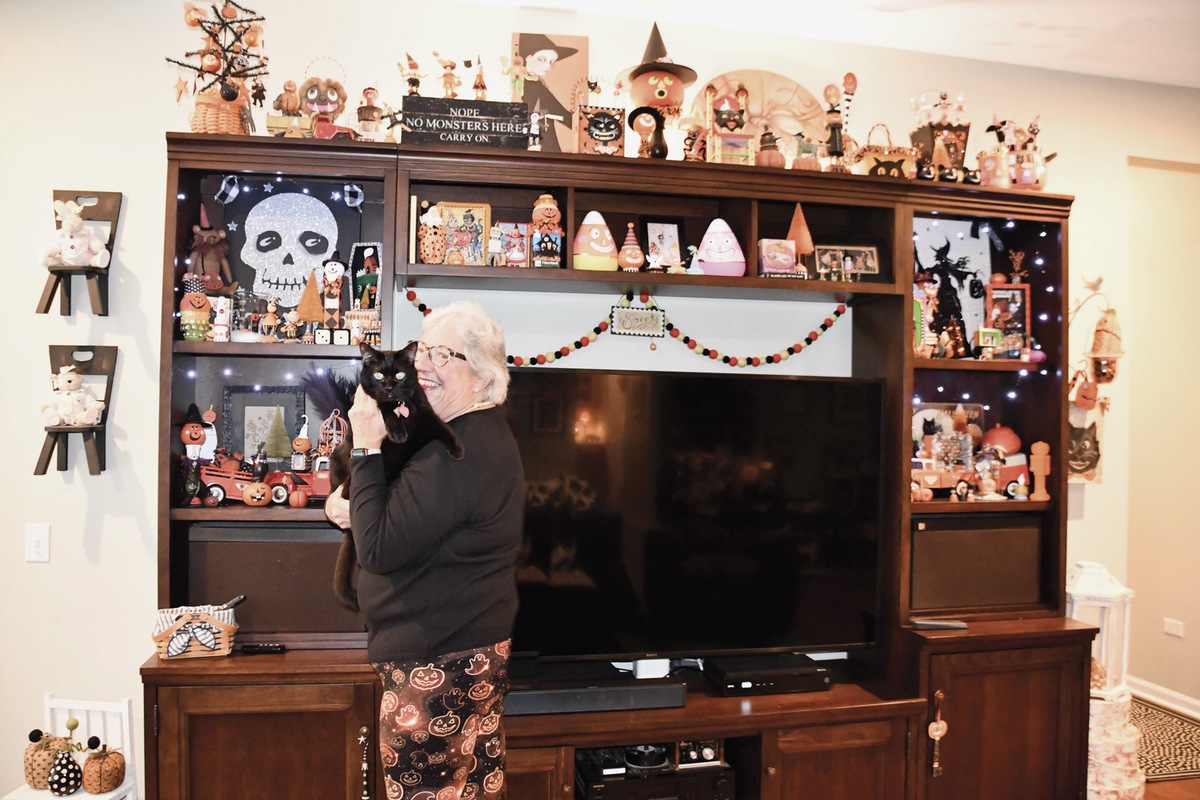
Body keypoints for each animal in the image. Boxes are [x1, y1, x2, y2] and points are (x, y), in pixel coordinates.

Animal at [304, 340, 463, 609]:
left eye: (399, 375)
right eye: (379, 375)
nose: (388, 387)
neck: (402, 407)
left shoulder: (423, 409)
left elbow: (442, 426)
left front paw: (457, 448)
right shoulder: (376, 404)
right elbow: (384, 407)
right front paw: (397, 431)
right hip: (339, 454)